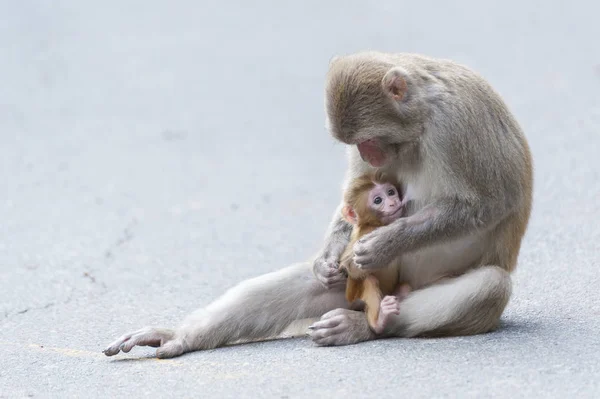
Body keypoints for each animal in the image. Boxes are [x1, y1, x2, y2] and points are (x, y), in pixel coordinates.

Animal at [340, 172, 410, 334]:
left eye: (390, 192)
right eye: (378, 200)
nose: (393, 202)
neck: (376, 224)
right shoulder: (366, 233)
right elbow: (350, 266)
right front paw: (378, 251)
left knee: (405, 287)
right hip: (354, 300)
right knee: (369, 280)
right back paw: (379, 322)